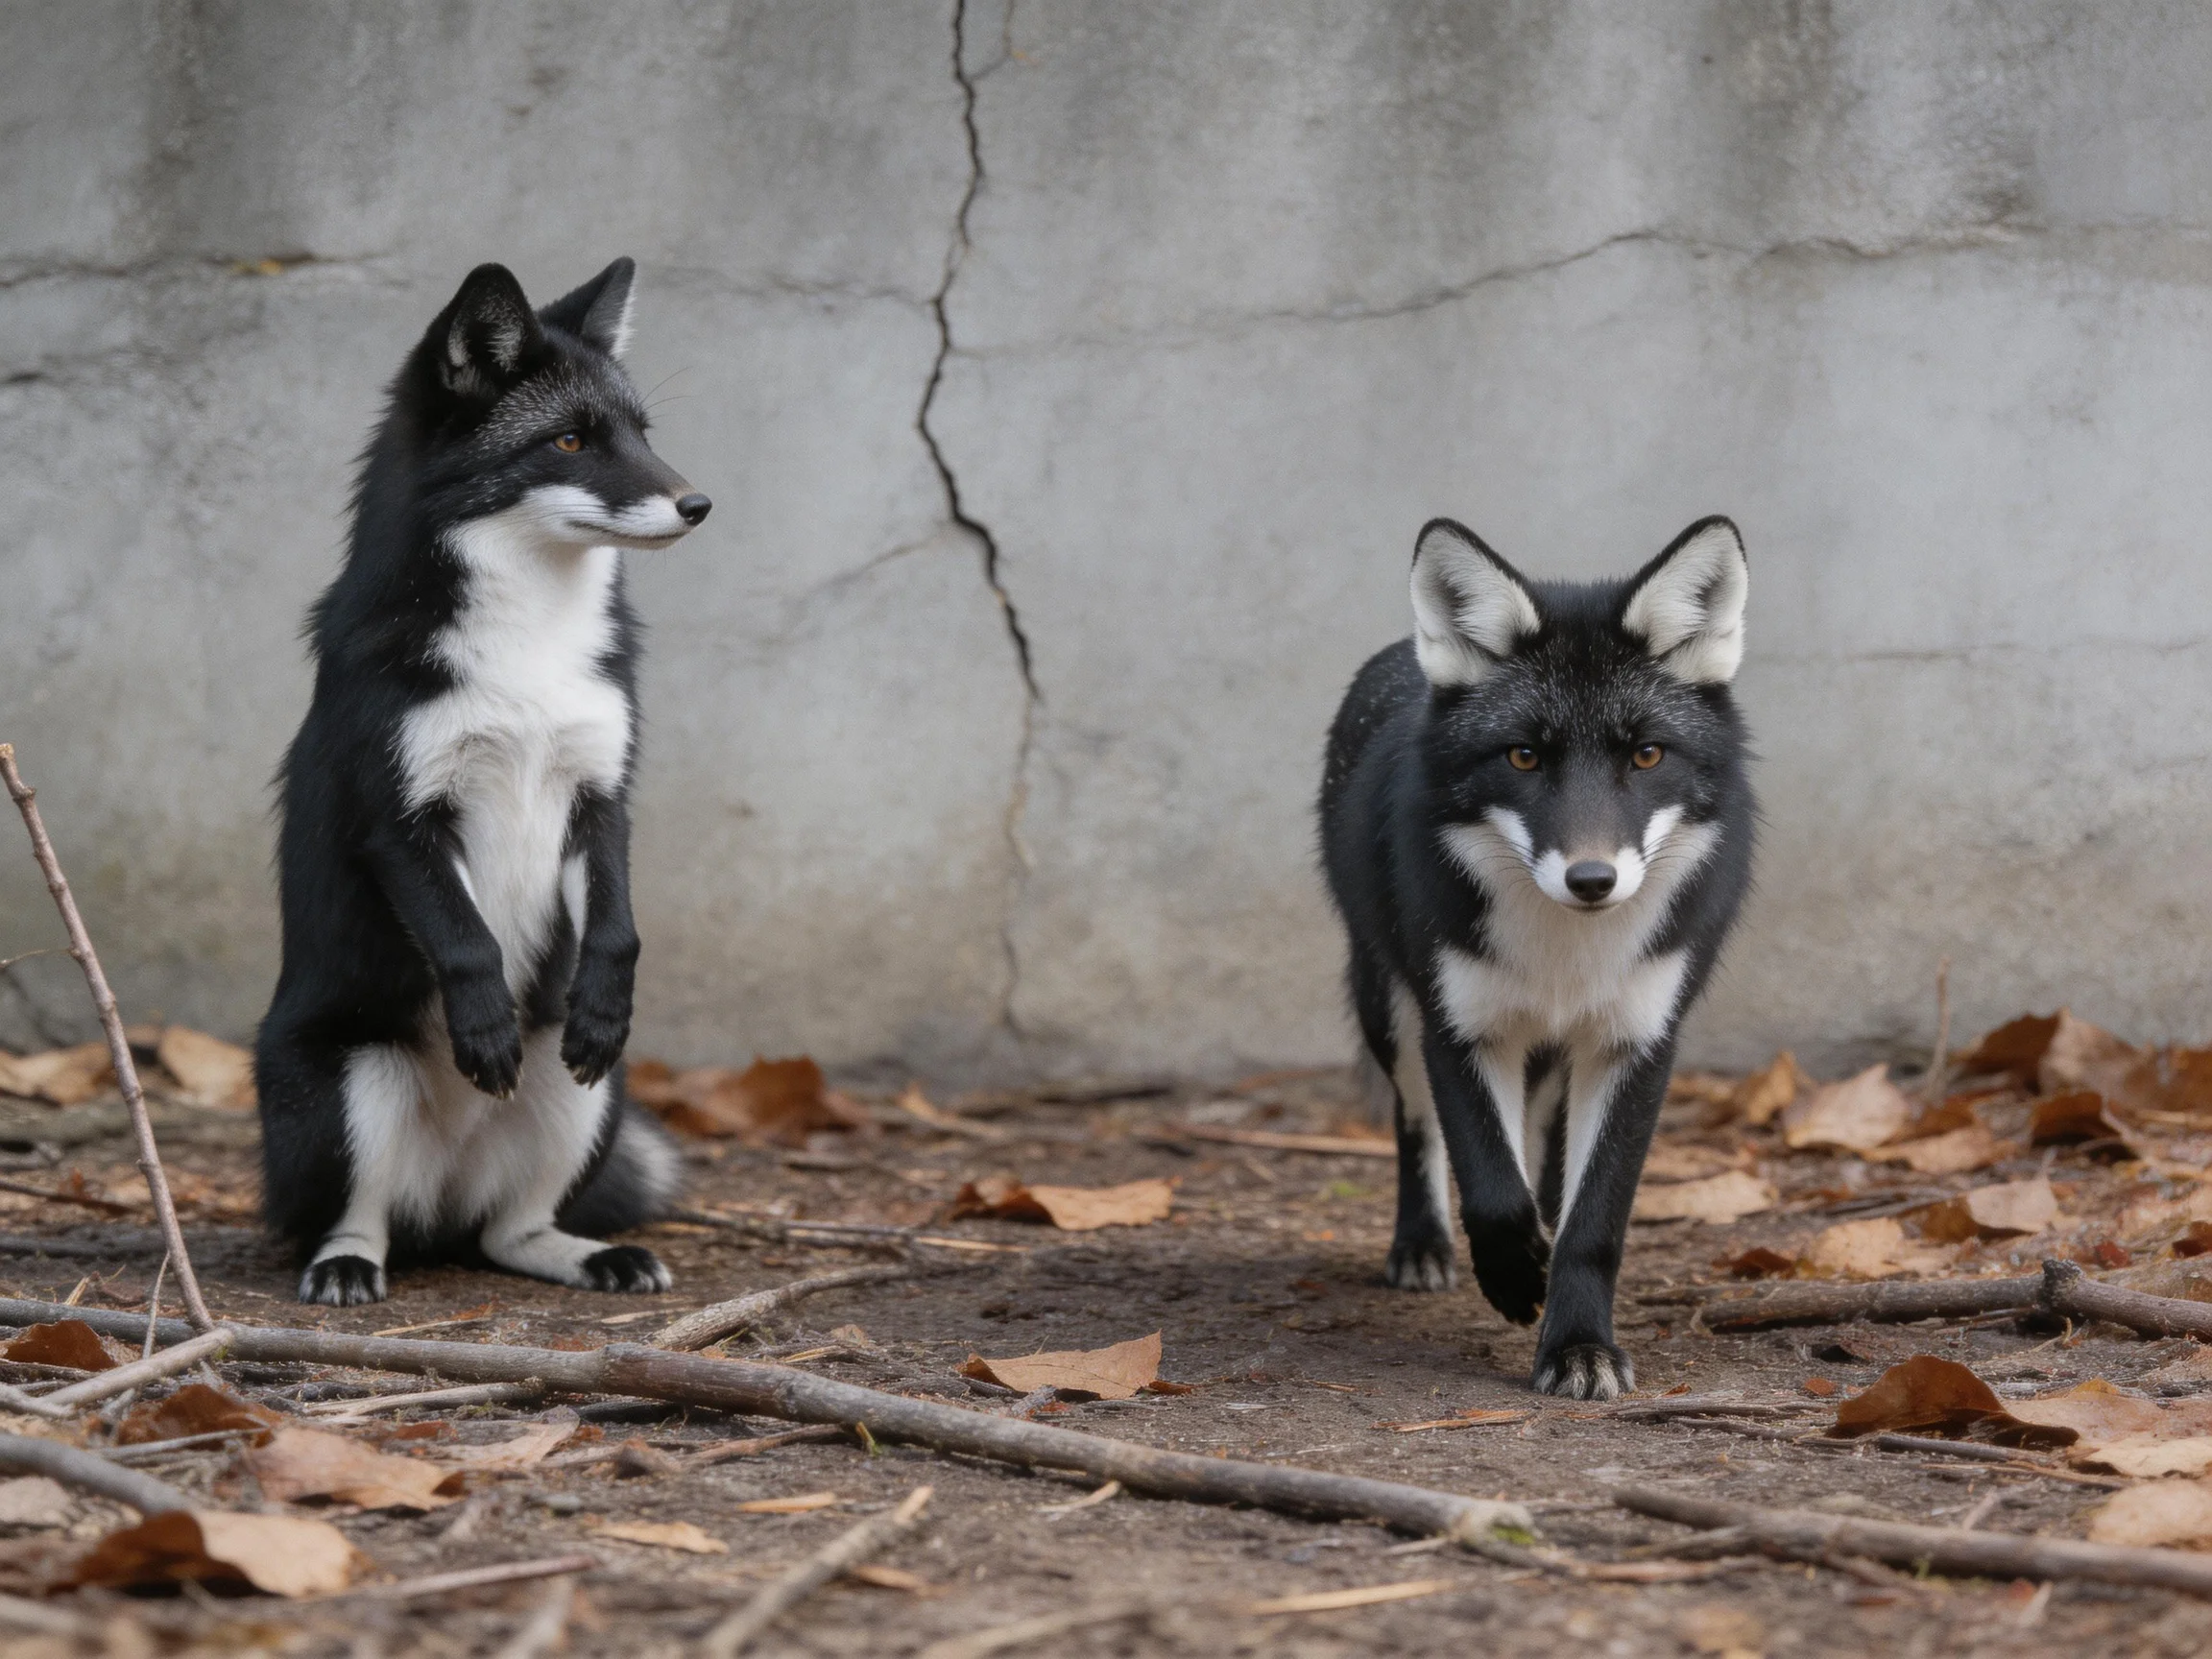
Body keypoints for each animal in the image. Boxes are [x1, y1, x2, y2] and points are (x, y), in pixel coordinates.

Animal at [256, 258, 710, 1306]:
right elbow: (468, 947)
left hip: (585, 1097)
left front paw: (606, 999)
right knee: (353, 1223)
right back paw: (347, 1265)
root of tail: (444, 1197)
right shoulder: (399, 814)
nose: (696, 504)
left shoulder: (601, 792)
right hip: (353, 1089)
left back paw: (591, 1254)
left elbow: (619, 932)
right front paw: (482, 1028)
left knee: (512, 1234)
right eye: (571, 440)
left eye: (641, 433)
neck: (528, 660)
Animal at [1319, 515, 1754, 1398]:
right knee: (1418, 1132)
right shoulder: (1460, 1027)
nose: (1592, 879)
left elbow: (1595, 1221)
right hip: (1389, 1010)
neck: (1566, 958)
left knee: (1548, 1150)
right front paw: (1516, 1274)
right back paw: (1425, 1245)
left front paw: (1579, 1344)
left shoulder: (1638, 1041)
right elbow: (1489, 1187)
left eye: (1645, 756)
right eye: (1524, 756)